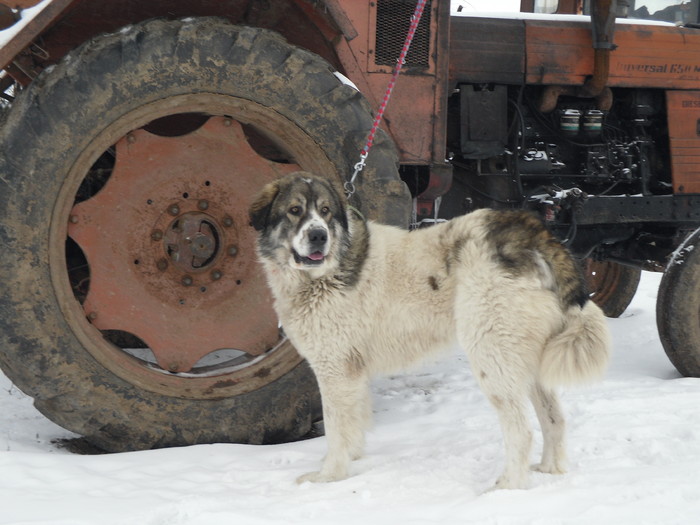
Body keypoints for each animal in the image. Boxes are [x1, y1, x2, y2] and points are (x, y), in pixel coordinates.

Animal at [249, 172, 608, 492]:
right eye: (295, 210)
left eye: (325, 211)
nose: (318, 236)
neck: (326, 272)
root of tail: (531, 231)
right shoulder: (353, 371)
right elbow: (354, 425)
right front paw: (354, 460)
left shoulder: (335, 369)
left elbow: (336, 430)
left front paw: (329, 477)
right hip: (525, 360)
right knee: (554, 419)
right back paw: (550, 470)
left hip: (492, 357)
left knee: (522, 431)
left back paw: (507, 488)